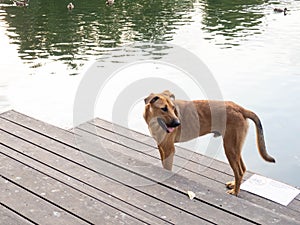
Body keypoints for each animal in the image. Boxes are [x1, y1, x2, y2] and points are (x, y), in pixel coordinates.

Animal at [144, 89, 276, 195]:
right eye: (164, 109)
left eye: (173, 108)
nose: (178, 123)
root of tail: (240, 109)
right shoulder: (161, 147)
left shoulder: (169, 149)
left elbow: (167, 169)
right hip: (235, 147)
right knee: (242, 169)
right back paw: (234, 185)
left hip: (230, 147)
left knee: (238, 172)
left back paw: (235, 192)